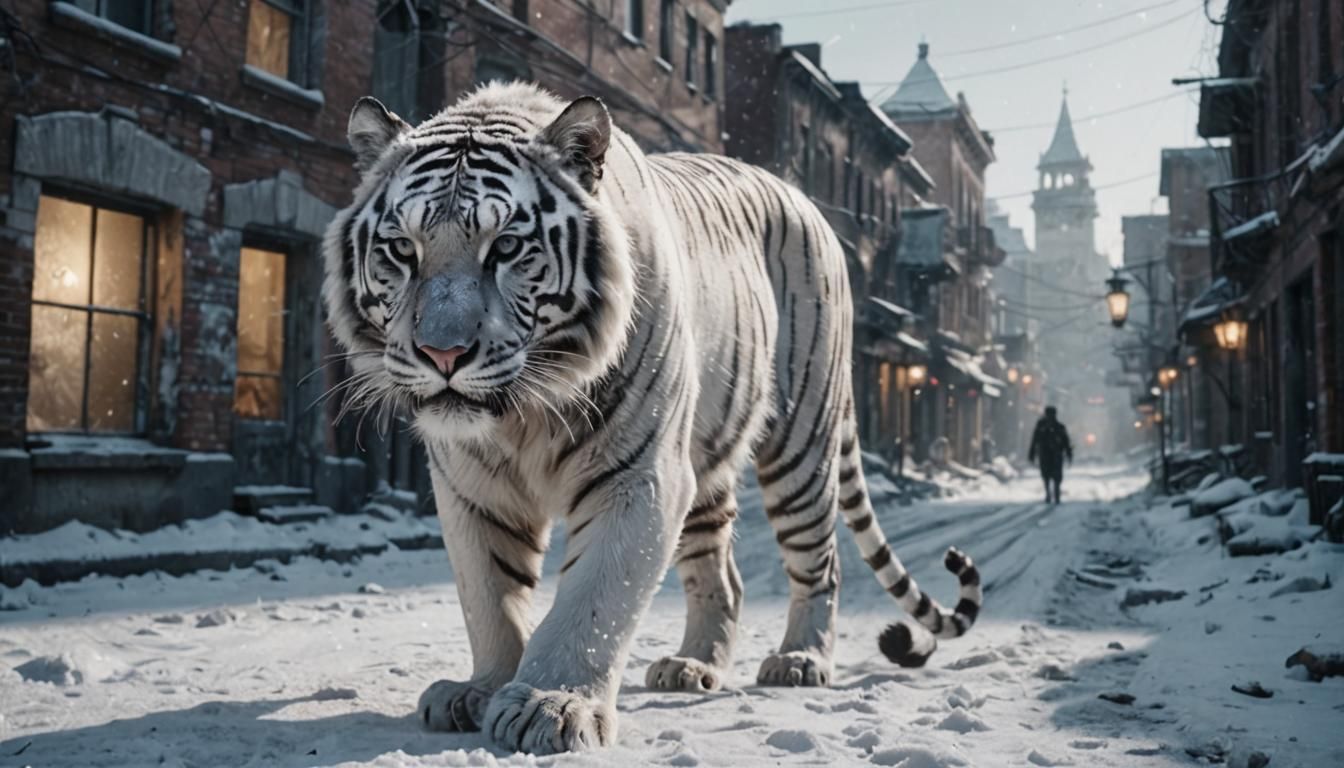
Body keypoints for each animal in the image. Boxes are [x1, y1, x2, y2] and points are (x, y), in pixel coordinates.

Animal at [321, 81, 982, 755]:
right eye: (403, 249)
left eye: (504, 246)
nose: (443, 354)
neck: (523, 415)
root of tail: (805, 201)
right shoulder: (471, 486)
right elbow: (489, 597)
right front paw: (481, 689)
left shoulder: (638, 476)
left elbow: (593, 599)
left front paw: (549, 704)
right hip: (708, 466)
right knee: (723, 577)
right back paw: (693, 666)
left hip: (801, 444)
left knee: (821, 560)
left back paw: (800, 659)